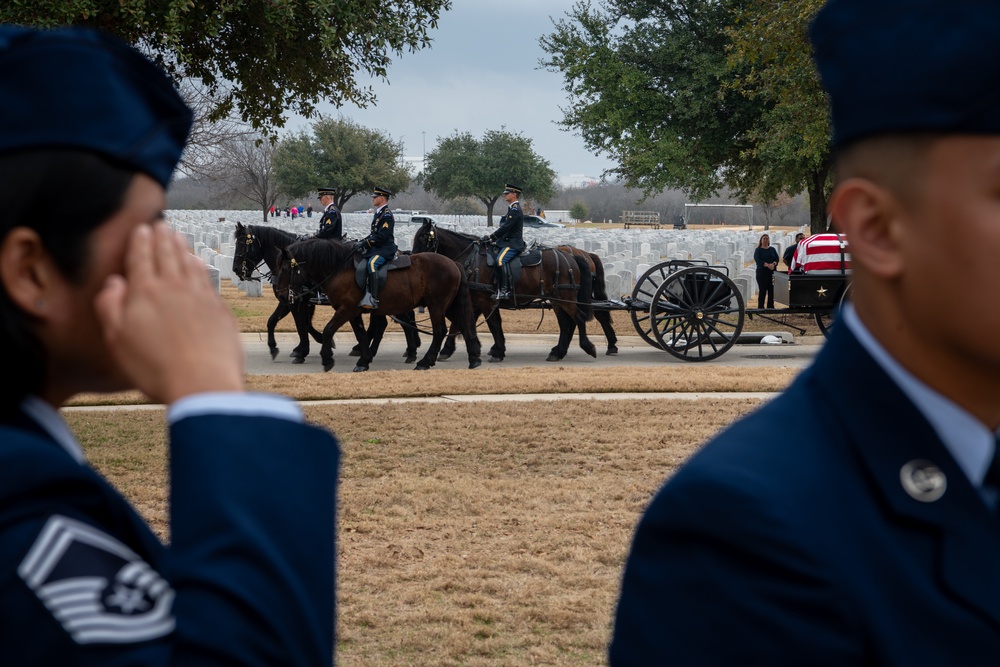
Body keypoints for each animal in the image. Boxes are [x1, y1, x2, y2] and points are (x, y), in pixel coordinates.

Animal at [233, 223, 422, 366]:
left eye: (243, 244)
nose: (236, 269)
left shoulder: (294, 301)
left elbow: (301, 325)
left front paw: (303, 350)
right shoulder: (293, 300)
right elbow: (282, 322)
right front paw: (291, 348)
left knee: (403, 320)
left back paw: (410, 351)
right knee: (384, 323)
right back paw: (371, 350)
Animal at [278, 237, 480, 374]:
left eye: (285, 268)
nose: (281, 294)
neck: (339, 268)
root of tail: (453, 263)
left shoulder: (346, 310)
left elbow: (328, 329)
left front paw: (327, 359)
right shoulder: (353, 312)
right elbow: (361, 335)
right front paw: (363, 361)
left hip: (437, 305)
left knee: (439, 331)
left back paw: (424, 361)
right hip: (449, 306)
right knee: (465, 325)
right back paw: (474, 358)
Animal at [412, 222, 596, 362]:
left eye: (423, 238)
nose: (414, 260)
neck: (471, 259)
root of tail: (571, 256)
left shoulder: (486, 301)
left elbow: (493, 324)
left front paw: (498, 351)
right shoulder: (475, 301)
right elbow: (461, 323)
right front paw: (452, 349)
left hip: (565, 297)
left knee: (578, 318)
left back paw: (587, 346)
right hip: (557, 300)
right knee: (566, 324)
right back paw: (558, 352)